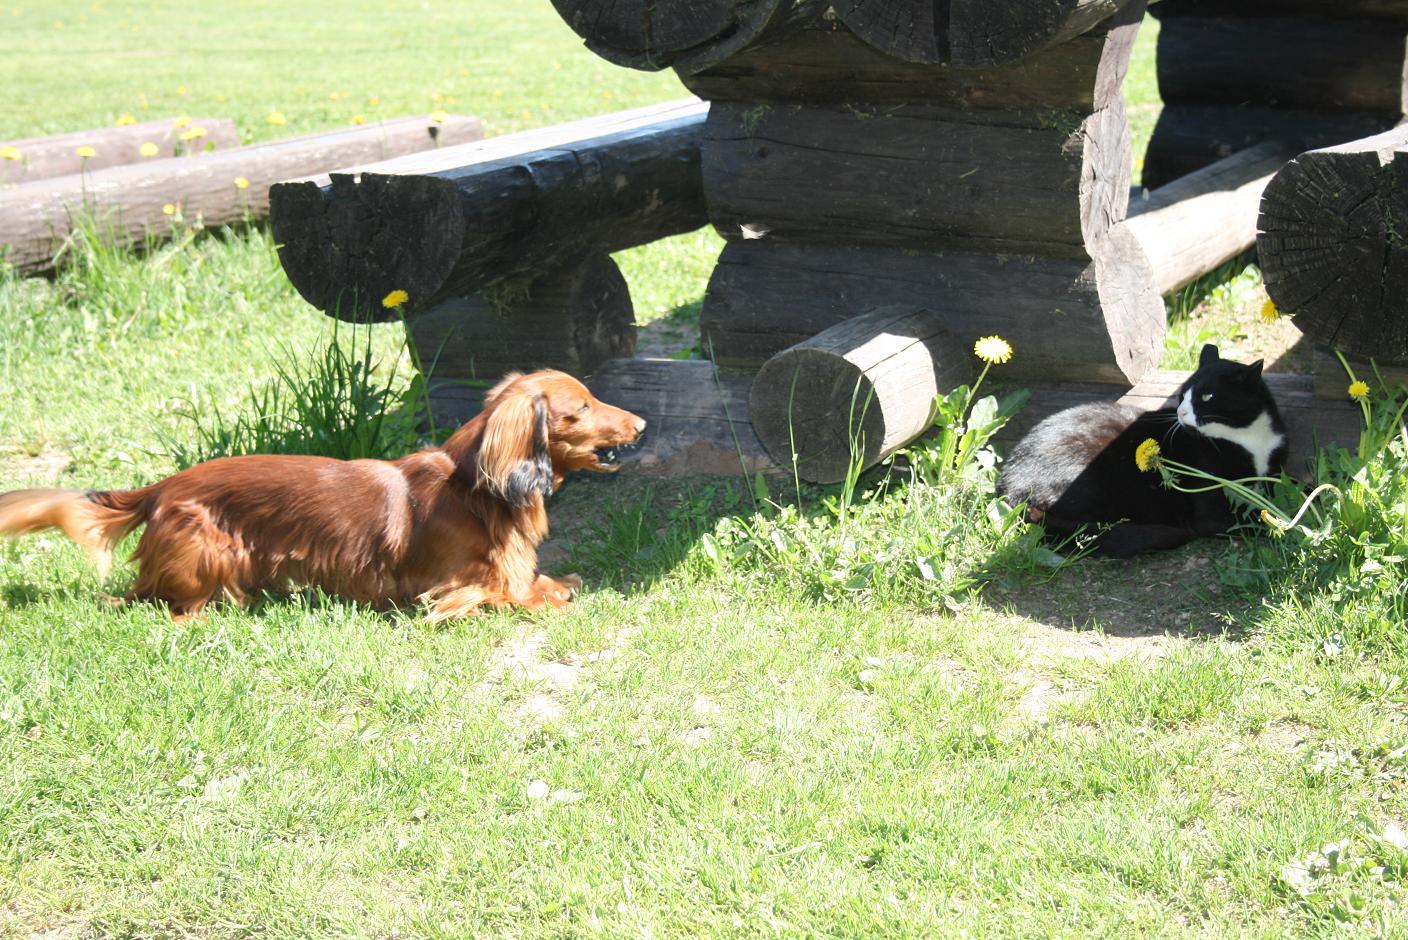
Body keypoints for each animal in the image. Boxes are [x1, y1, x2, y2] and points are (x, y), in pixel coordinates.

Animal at [0, 371, 644, 619]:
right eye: (581, 407)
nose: (640, 424)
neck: (473, 489)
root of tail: (162, 487)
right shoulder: (450, 591)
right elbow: (525, 592)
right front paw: (560, 593)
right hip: (207, 553)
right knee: (149, 602)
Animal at [1002, 348, 1289, 562]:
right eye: (1182, 395)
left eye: (1207, 396)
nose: (1180, 412)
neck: (1247, 438)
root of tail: (1008, 485)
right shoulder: (1212, 510)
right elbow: (1252, 520)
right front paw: (1283, 522)